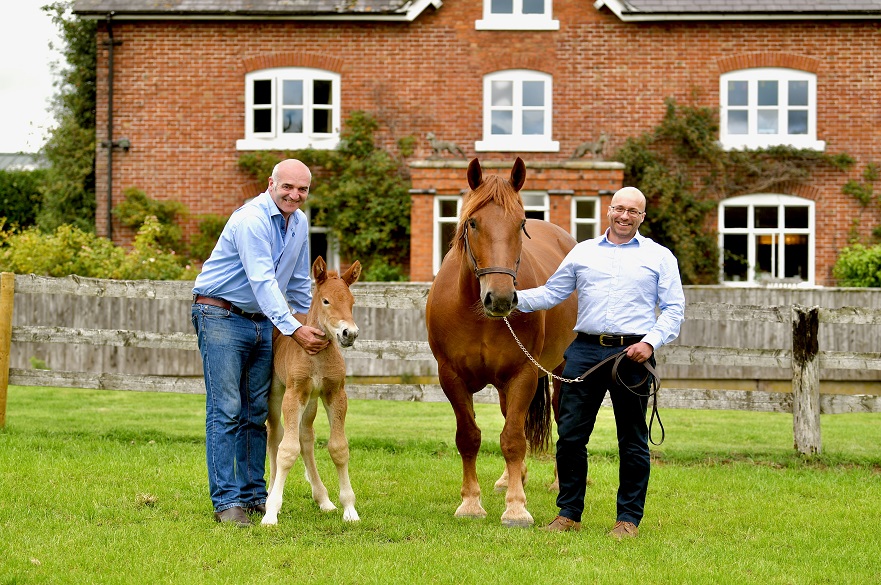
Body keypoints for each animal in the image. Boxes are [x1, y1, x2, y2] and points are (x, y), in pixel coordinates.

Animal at [262, 256, 360, 524]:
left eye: (352, 302)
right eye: (326, 300)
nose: (350, 333)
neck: (317, 355)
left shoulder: (335, 394)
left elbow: (338, 448)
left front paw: (349, 509)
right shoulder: (293, 394)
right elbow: (286, 450)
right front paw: (271, 512)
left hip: (311, 402)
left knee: (305, 438)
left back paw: (323, 499)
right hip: (276, 396)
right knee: (275, 436)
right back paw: (270, 493)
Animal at [426, 156, 576, 524]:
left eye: (520, 223)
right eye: (473, 223)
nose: (502, 299)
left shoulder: (523, 374)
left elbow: (513, 439)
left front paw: (516, 508)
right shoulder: (451, 376)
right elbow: (469, 437)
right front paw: (471, 502)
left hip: (559, 371)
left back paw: (555, 482)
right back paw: (511, 478)